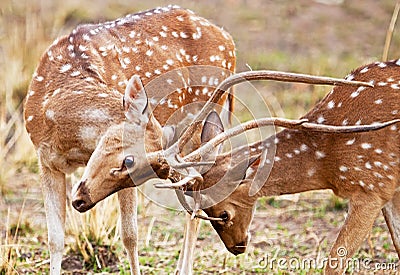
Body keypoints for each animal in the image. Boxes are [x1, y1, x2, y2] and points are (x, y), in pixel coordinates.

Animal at [24, 5, 238, 274]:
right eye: (128, 160)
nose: (82, 199)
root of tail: (229, 39)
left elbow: (129, 236)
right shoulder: (46, 161)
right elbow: (55, 238)